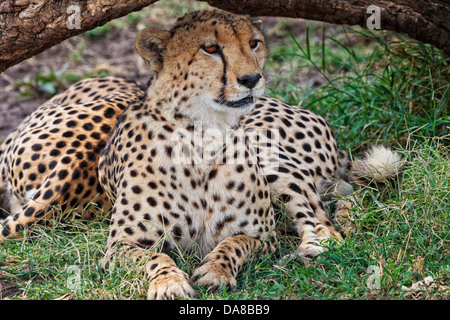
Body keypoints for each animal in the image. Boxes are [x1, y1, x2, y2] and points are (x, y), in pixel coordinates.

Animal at [0, 10, 402, 300]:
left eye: (254, 43)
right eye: (210, 48)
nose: (251, 79)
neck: (201, 138)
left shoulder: (261, 235)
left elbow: (235, 243)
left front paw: (215, 270)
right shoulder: (120, 246)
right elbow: (156, 255)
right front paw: (169, 283)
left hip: (273, 157)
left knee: (325, 224)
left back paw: (307, 252)